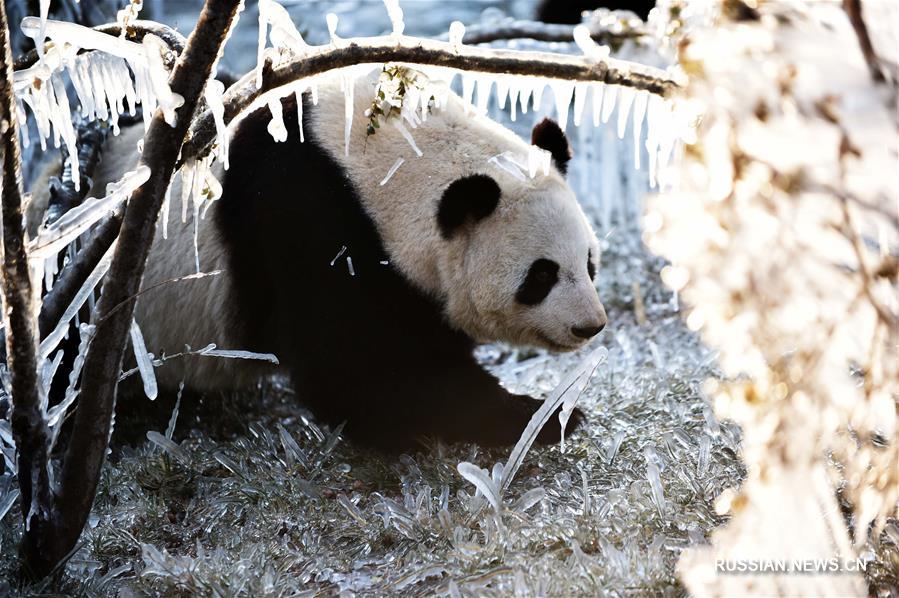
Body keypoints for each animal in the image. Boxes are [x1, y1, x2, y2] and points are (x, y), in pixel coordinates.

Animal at [72, 69, 604, 450]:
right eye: (541, 275)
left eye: (589, 262)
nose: (590, 326)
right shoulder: (311, 222)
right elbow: (356, 367)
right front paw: (536, 417)